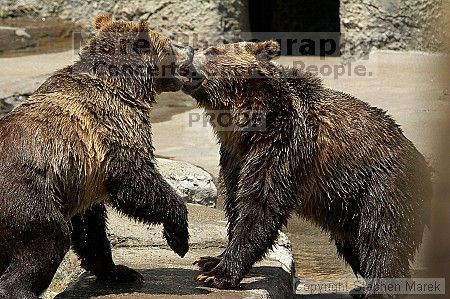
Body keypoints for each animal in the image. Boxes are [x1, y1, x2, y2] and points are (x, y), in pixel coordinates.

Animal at [0, 15, 192, 298]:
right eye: (170, 43)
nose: (190, 49)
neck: (127, 85)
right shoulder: (113, 124)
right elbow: (135, 180)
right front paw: (179, 237)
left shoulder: (79, 174)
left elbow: (91, 225)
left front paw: (118, 271)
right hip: (26, 195)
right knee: (47, 240)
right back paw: (21, 290)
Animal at [183, 41, 432, 298]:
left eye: (212, 51)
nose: (184, 63)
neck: (248, 120)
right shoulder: (235, 156)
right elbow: (235, 201)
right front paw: (211, 260)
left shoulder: (284, 141)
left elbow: (262, 202)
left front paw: (218, 275)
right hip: (347, 206)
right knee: (355, 246)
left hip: (382, 186)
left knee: (380, 241)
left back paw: (378, 290)